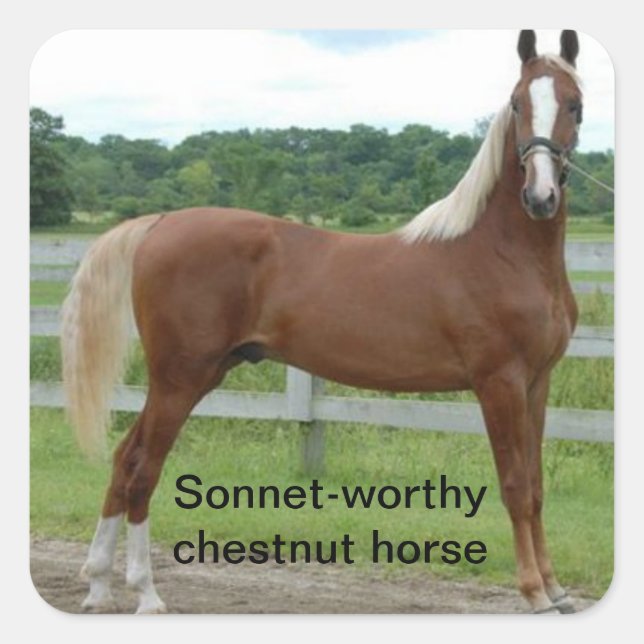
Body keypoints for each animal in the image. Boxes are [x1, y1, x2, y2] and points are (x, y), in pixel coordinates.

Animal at [61, 30, 583, 614]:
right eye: (517, 104)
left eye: (574, 104)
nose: (540, 196)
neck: (500, 253)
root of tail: (160, 222)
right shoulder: (498, 384)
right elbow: (515, 485)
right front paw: (534, 592)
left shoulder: (536, 383)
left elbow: (536, 486)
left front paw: (556, 587)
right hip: (180, 378)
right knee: (143, 468)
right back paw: (146, 592)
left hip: (200, 374)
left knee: (123, 459)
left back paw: (99, 585)